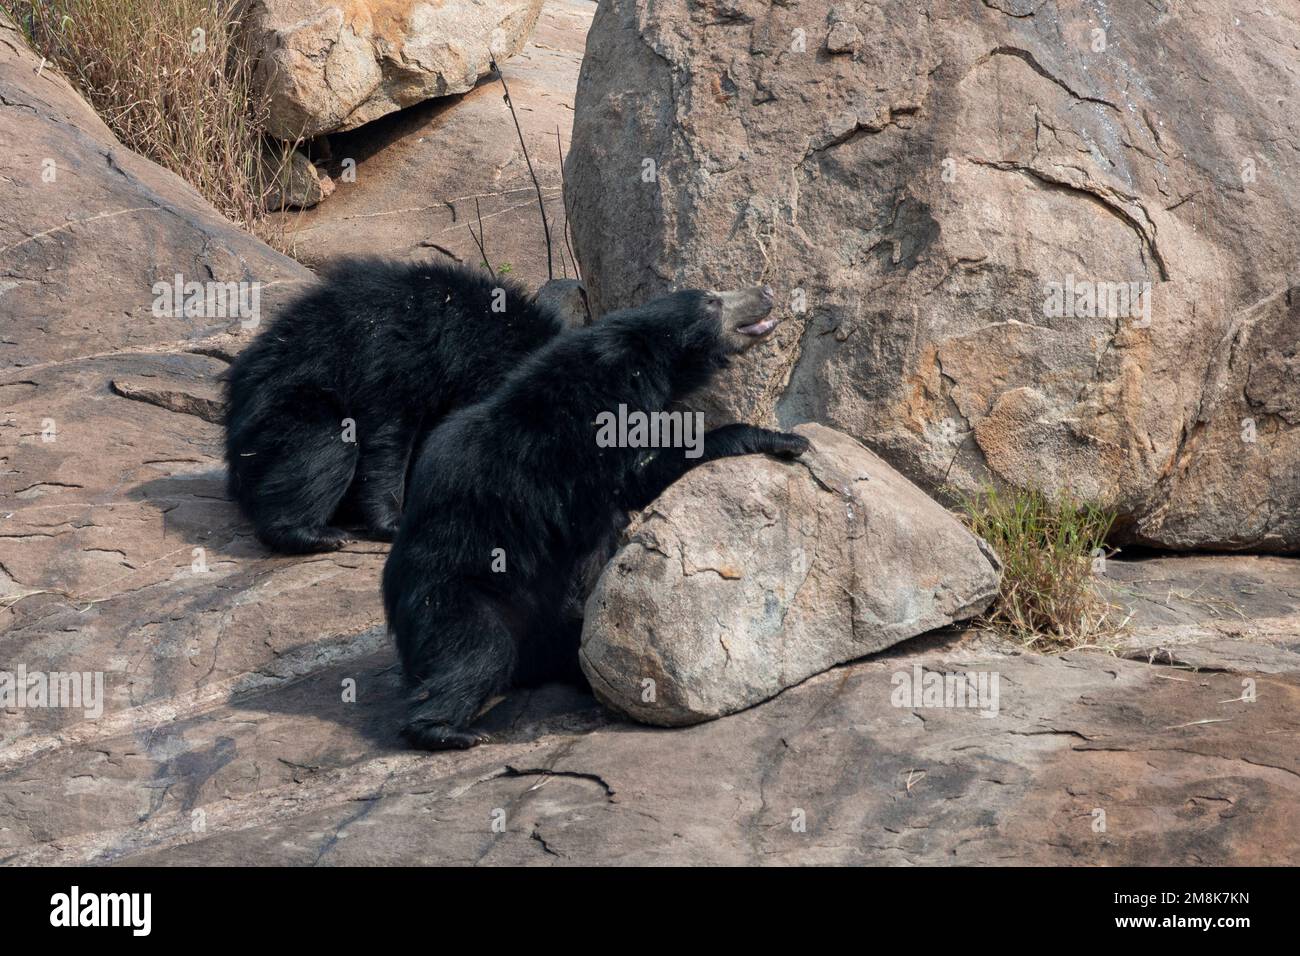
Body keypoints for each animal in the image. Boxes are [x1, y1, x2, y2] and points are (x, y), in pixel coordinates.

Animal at [223, 257, 565, 554]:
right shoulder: (392, 362)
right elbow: (387, 441)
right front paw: (394, 523)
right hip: (283, 410)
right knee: (325, 444)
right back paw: (315, 534)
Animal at [382, 284, 810, 750]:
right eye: (713, 302)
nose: (765, 292)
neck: (643, 358)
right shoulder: (599, 421)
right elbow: (639, 472)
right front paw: (783, 438)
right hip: (459, 588)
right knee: (474, 651)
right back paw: (448, 730)